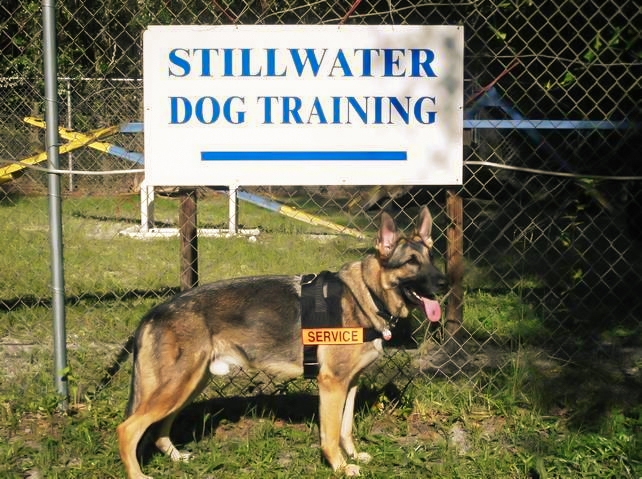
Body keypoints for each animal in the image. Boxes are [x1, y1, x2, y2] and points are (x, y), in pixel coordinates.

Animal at [117, 205, 442, 476]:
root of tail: (155, 311)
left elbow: (345, 428)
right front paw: (339, 466)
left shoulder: (349, 384)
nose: (443, 283)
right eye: (411, 262)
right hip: (177, 386)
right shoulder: (331, 385)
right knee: (127, 429)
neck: (366, 294)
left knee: (159, 429)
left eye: (431, 258)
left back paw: (176, 457)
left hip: (189, 384)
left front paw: (352, 455)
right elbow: (330, 434)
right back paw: (138, 473)